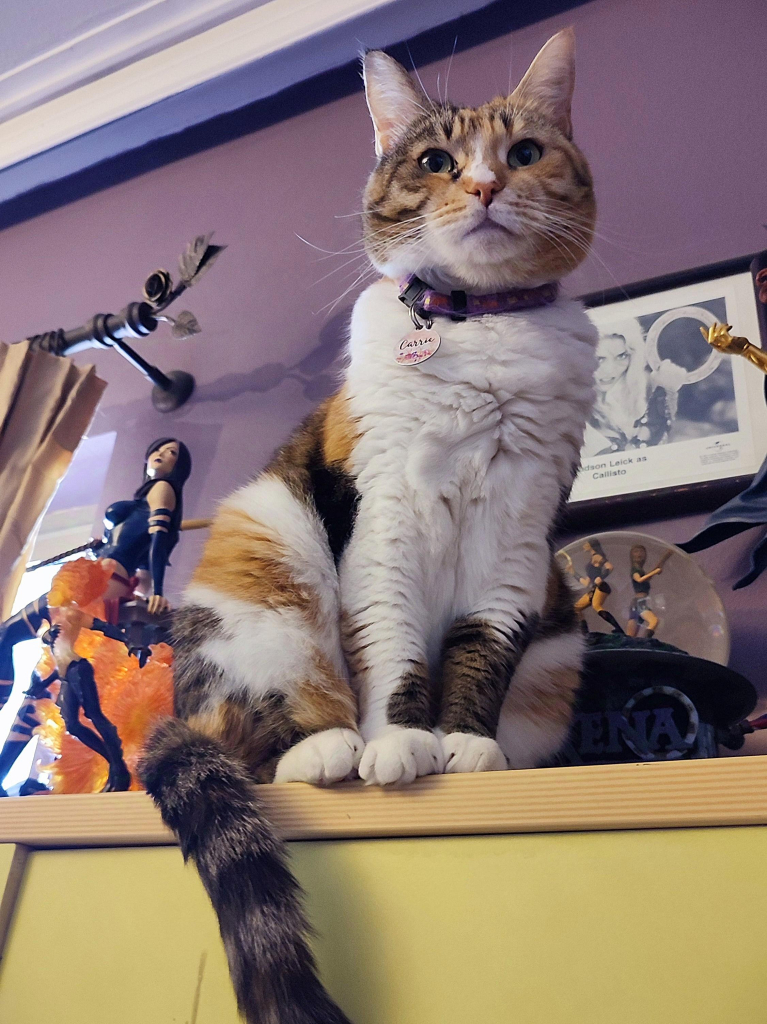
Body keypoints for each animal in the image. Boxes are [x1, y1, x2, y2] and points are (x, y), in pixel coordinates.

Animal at [143, 29, 598, 1024]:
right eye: (434, 162)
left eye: (524, 153)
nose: (484, 186)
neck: (480, 337)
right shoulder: (380, 513)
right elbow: (388, 642)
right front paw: (399, 742)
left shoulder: (518, 538)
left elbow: (482, 647)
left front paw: (463, 743)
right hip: (267, 551)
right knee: (257, 736)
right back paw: (328, 747)